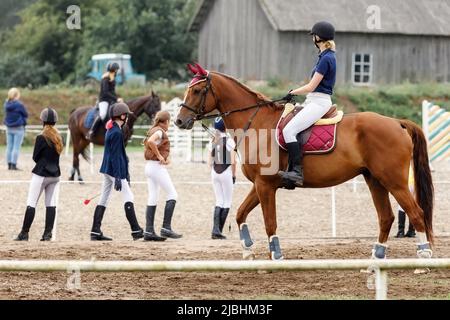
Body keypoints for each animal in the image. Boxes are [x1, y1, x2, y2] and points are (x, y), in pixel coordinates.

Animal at [175, 63, 432, 262]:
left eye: (197, 90)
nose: (179, 121)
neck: (256, 123)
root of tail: (397, 122)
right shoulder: (260, 184)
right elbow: (240, 214)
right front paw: (248, 251)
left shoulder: (265, 185)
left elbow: (270, 223)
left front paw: (276, 255)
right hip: (374, 180)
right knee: (386, 217)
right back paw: (377, 257)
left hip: (393, 181)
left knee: (416, 213)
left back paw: (423, 257)